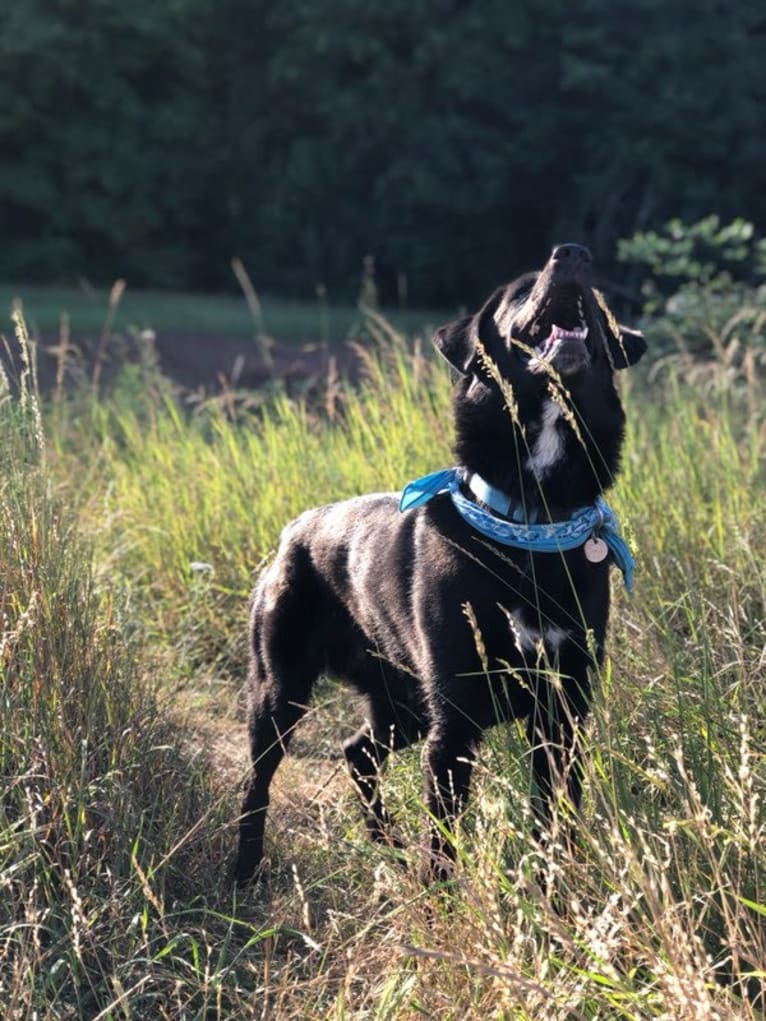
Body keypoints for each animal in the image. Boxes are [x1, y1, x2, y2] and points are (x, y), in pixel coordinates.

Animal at [235, 242, 649, 882]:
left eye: (600, 302)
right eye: (520, 290)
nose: (573, 253)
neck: (532, 520)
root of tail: (295, 527)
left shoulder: (562, 714)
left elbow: (555, 826)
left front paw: (557, 893)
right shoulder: (454, 725)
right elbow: (445, 846)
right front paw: (439, 897)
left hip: (404, 703)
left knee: (357, 752)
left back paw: (386, 843)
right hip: (282, 688)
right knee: (257, 779)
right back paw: (245, 867)